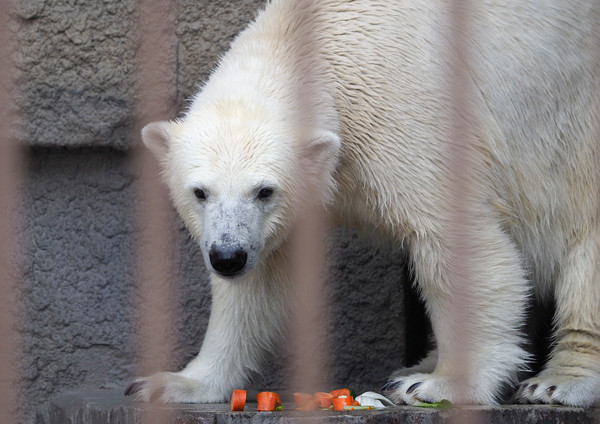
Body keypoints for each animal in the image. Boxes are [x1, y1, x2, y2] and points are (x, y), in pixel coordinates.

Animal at [126, 0, 600, 408]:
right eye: (200, 192)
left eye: (265, 191)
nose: (227, 256)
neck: (314, 40)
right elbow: (256, 288)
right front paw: (176, 382)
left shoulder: (407, 115)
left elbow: (458, 238)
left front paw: (441, 384)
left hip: (578, 140)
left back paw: (554, 382)